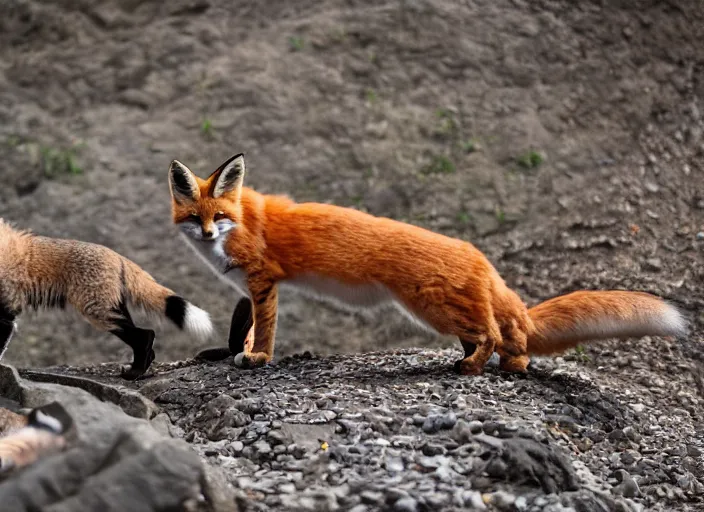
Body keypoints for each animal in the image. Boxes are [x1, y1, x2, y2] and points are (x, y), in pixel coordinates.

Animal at [1, 220, 213, 380]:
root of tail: (117, 256)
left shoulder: (7, 313)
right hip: (111, 307)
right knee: (144, 337)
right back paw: (138, 371)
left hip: (97, 309)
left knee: (145, 335)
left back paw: (134, 374)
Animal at [166, 154, 688, 374]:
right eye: (195, 218)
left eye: (220, 217)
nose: (209, 234)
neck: (241, 222)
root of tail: (477, 254)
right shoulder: (251, 288)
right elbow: (247, 325)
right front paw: (238, 351)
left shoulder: (264, 281)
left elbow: (266, 331)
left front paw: (258, 358)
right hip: (445, 313)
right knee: (507, 338)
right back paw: (507, 364)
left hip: (432, 309)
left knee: (493, 333)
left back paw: (474, 368)